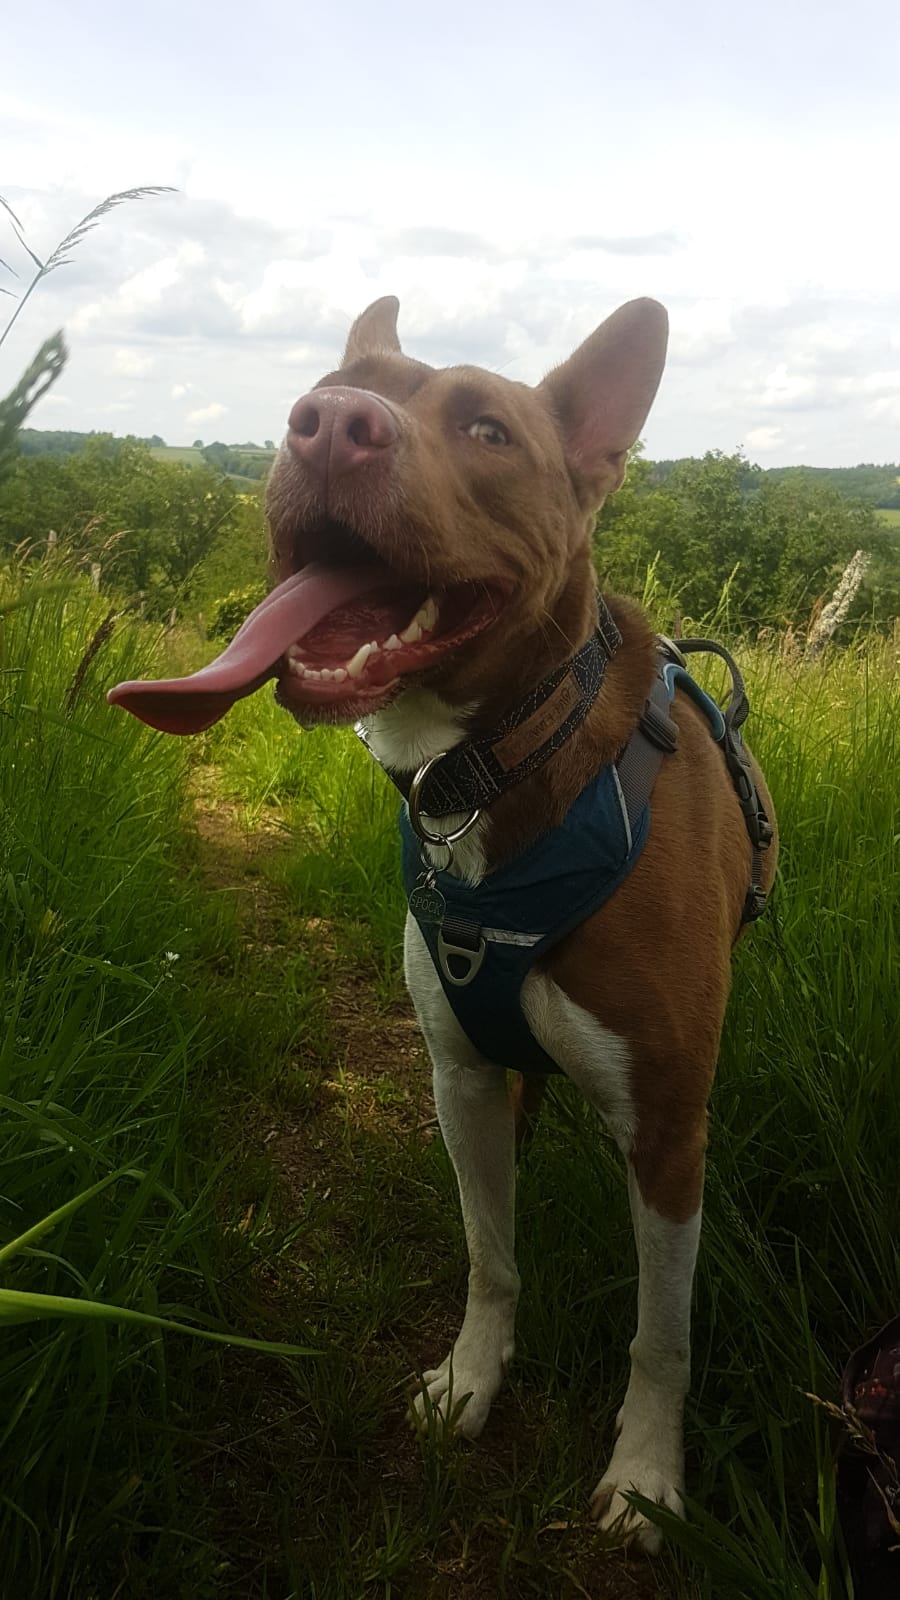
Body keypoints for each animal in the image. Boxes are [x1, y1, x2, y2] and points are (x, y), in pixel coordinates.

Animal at [112, 297, 775, 1548]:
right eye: (334, 391)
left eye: (487, 431)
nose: (329, 425)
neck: (502, 764)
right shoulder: (459, 1075)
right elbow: (489, 1255)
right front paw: (472, 1379)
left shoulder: (672, 1132)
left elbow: (661, 1336)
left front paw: (646, 1474)